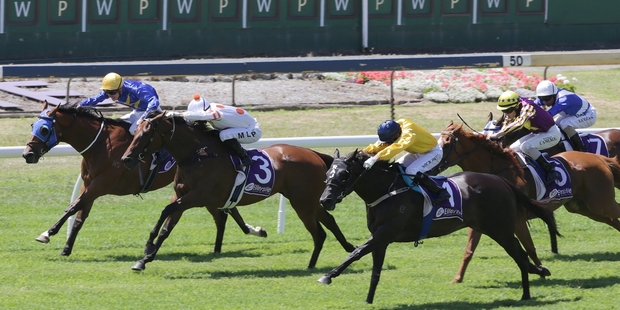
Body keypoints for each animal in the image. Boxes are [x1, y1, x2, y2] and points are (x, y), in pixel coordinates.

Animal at [23, 101, 266, 256]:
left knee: (225, 211)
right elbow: (80, 216)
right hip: (205, 190)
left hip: (203, 189)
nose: (28, 154)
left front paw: (47, 233)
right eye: (32, 125)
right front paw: (66, 248)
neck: (100, 143)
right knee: (225, 210)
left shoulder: (100, 185)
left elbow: (73, 207)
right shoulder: (90, 184)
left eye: (44, 129)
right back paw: (250, 232)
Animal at [119, 110, 356, 270]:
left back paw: (316, 263)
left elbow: (165, 211)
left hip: (302, 202)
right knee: (328, 224)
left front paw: (148, 246)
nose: (126, 159)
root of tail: (314, 154)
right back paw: (345, 250)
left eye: (146, 134)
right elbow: (167, 226)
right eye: (135, 131)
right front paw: (144, 259)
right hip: (310, 200)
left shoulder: (198, 197)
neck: (198, 155)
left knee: (319, 232)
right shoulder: (182, 195)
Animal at [318, 149, 560, 302]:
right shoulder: (381, 238)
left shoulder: (385, 232)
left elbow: (356, 252)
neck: (387, 190)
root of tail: (501, 181)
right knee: (522, 255)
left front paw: (328, 276)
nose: (325, 200)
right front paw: (369, 300)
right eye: (328, 173)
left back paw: (526, 294)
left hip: (501, 230)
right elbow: (375, 271)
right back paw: (538, 272)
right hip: (489, 227)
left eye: (344, 174)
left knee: (520, 256)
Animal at [438, 120, 620, 284]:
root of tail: (598, 158)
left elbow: (530, 248)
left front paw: (541, 271)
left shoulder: (518, 219)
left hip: (601, 202)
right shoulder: (480, 220)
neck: (499, 170)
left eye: (446, 143)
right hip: (584, 207)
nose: (435, 166)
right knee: (613, 220)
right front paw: (457, 278)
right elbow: (469, 250)